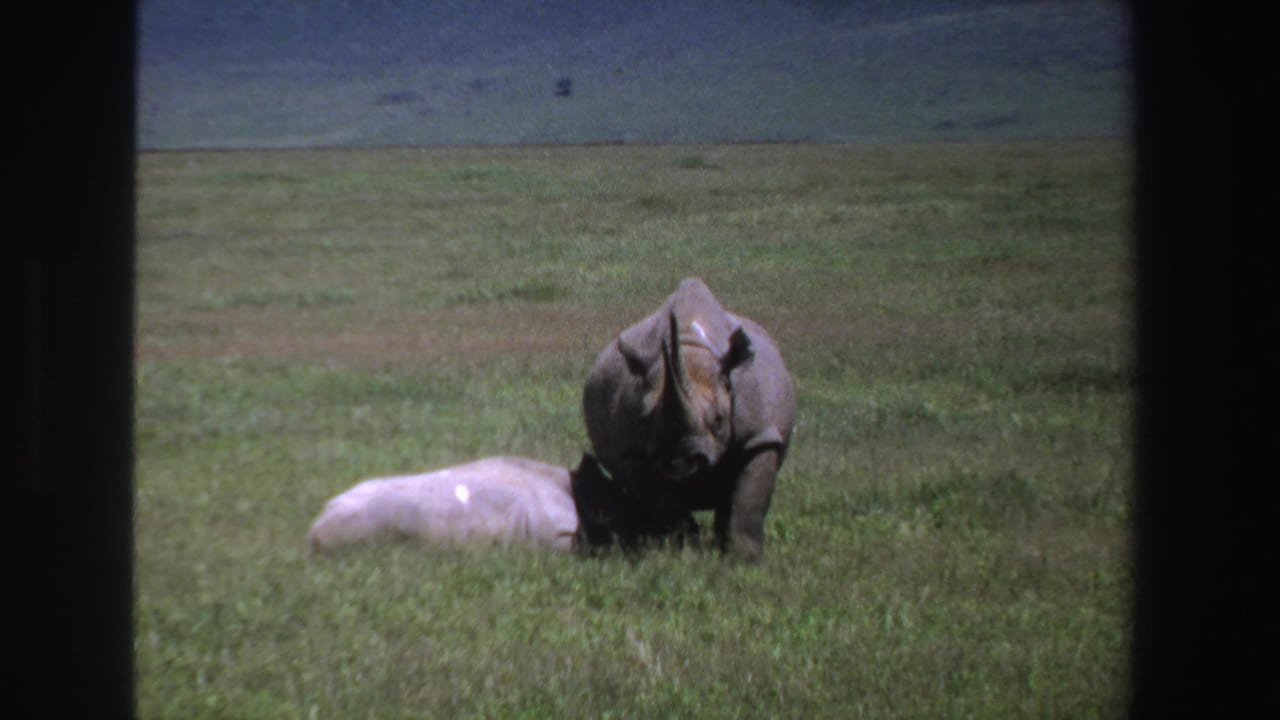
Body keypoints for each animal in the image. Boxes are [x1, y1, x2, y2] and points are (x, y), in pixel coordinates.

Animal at [582, 278, 796, 560]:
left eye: (719, 420)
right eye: (644, 419)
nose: (680, 463)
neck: (690, 347)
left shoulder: (759, 434)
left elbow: (748, 500)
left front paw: (744, 559)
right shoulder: (634, 452)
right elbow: (663, 502)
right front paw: (682, 551)